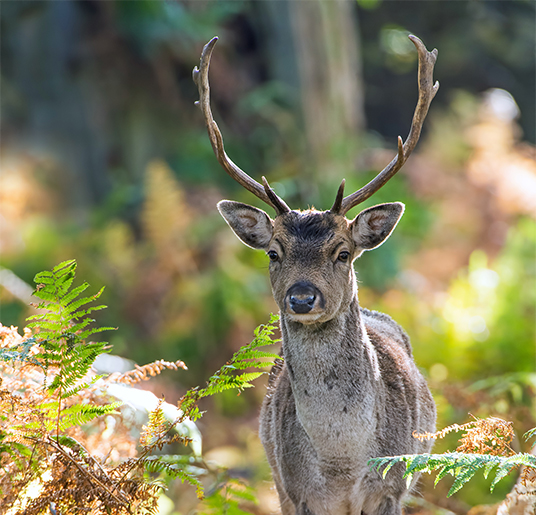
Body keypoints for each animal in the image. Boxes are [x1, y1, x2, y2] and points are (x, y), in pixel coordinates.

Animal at [193, 34, 440, 512]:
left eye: (343, 252)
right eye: (273, 252)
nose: (303, 297)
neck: (342, 464)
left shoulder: (390, 488)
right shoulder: (298, 490)